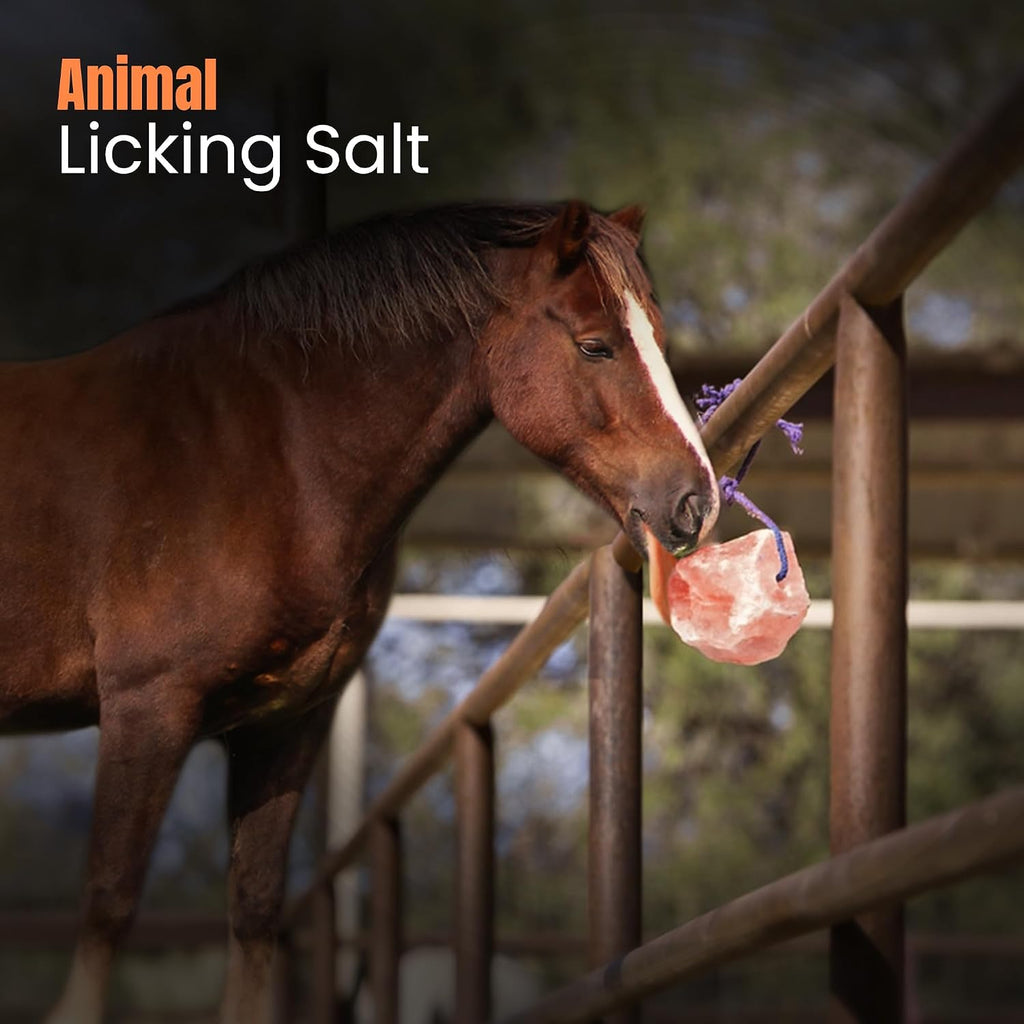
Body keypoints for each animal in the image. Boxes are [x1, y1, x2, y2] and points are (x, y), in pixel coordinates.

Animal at [0, 200, 719, 1023]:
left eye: (659, 338)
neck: (257, 452)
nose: (697, 501)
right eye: (595, 345)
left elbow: (253, 915)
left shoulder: (285, 727)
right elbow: (108, 906)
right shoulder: (147, 709)